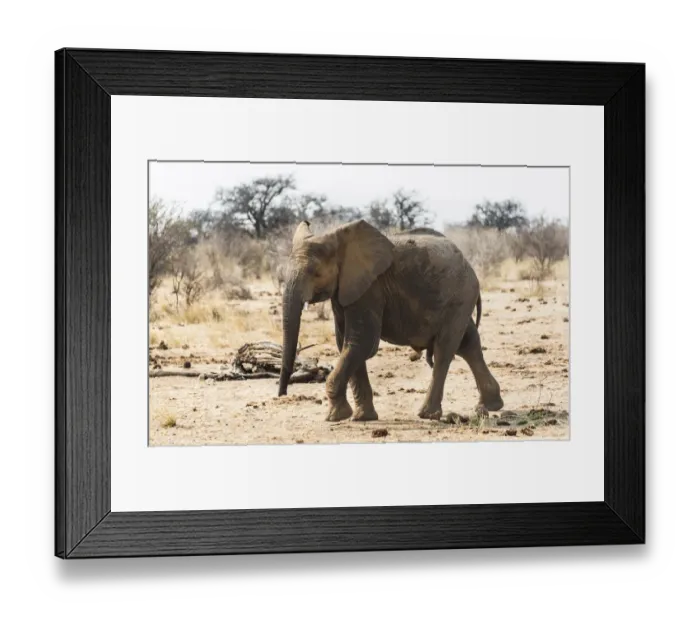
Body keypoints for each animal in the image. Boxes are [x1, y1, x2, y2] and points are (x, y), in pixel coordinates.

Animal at [277, 219, 504, 422]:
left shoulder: (371, 288)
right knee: (468, 343)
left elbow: (362, 342)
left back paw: (428, 415)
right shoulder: (345, 289)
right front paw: (362, 418)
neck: (340, 240)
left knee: (444, 350)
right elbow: (346, 344)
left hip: (459, 297)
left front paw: (335, 417)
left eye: (316, 273)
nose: (282, 394)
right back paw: (490, 406)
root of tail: (469, 264)